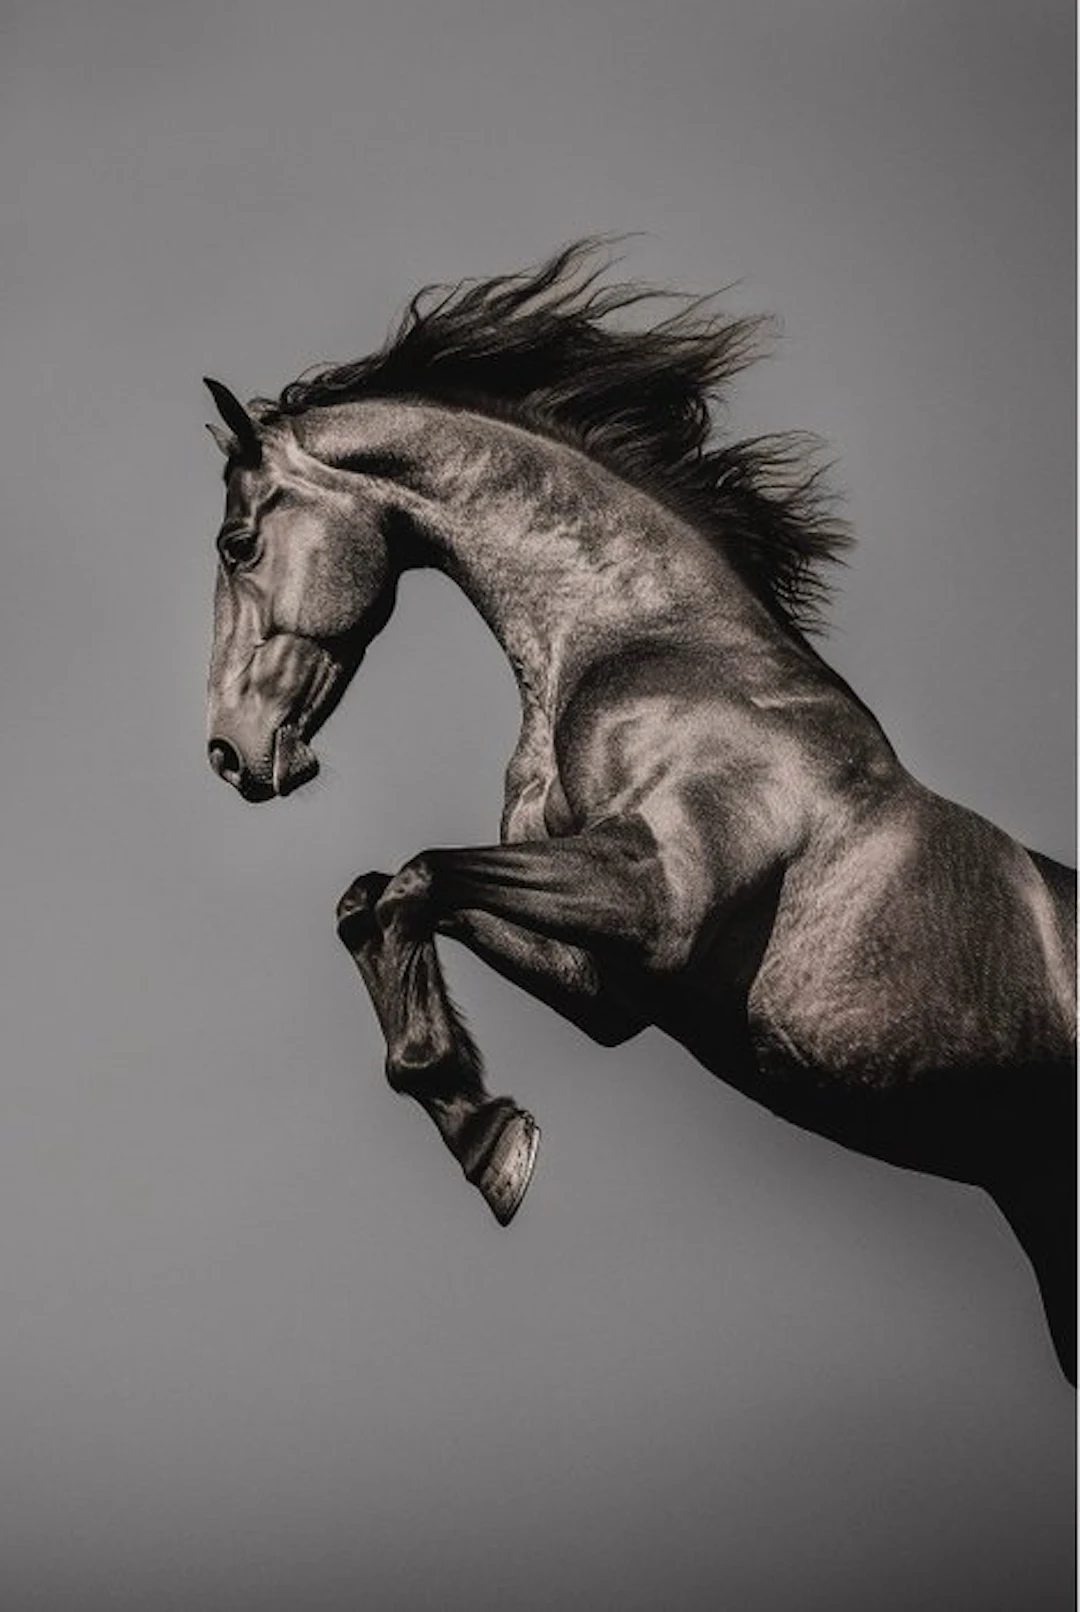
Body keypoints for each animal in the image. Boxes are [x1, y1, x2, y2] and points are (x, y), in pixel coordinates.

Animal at [203, 243, 1077, 1380]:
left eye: (236, 543)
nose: (229, 751)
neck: (654, 646)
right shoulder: (611, 985)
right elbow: (369, 897)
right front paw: (470, 1118)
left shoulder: (662, 899)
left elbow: (416, 875)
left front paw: (489, 1135)